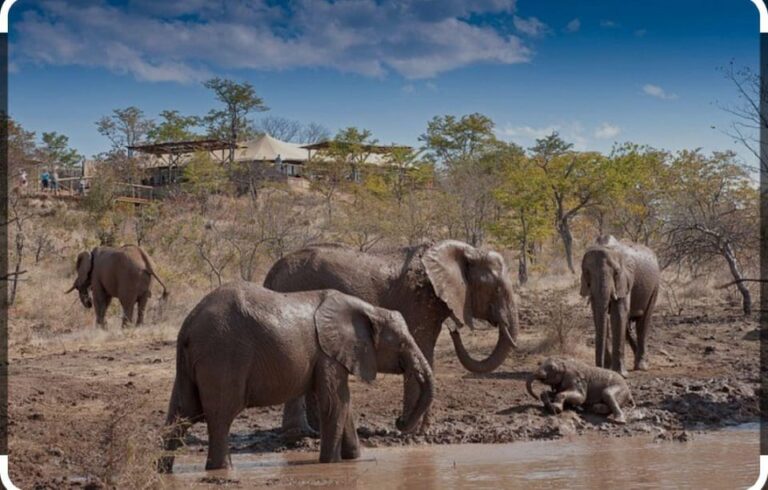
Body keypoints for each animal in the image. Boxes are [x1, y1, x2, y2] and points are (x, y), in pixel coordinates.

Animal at [157, 282, 433, 472]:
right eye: (400, 343)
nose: (399, 421)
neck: (368, 309)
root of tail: (188, 326)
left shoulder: (327, 355)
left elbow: (344, 404)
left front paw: (353, 460)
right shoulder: (328, 354)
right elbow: (334, 403)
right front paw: (331, 464)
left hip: (191, 362)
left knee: (181, 414)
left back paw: (162, 471)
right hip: (222, 355)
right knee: (221, 416)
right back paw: (222, 470)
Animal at [263, 240, 519, 437]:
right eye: (497, 289)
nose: (454, 330)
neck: (466, 250)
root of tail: (271, 273)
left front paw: (422, 431)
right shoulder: (419, 301)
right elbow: (422, 349)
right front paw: (415, 433)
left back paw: (314, 433)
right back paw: (299, 435)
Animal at [580, 235, 660, 376]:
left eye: (616, 272)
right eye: (586, 272)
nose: (599, 367)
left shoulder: (626, 279)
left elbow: (618, 314)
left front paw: (621, 374)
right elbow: (598, 314)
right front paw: (608, 369)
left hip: (654, 286)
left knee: (643, 323)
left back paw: (641, 366)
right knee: (628, 327)